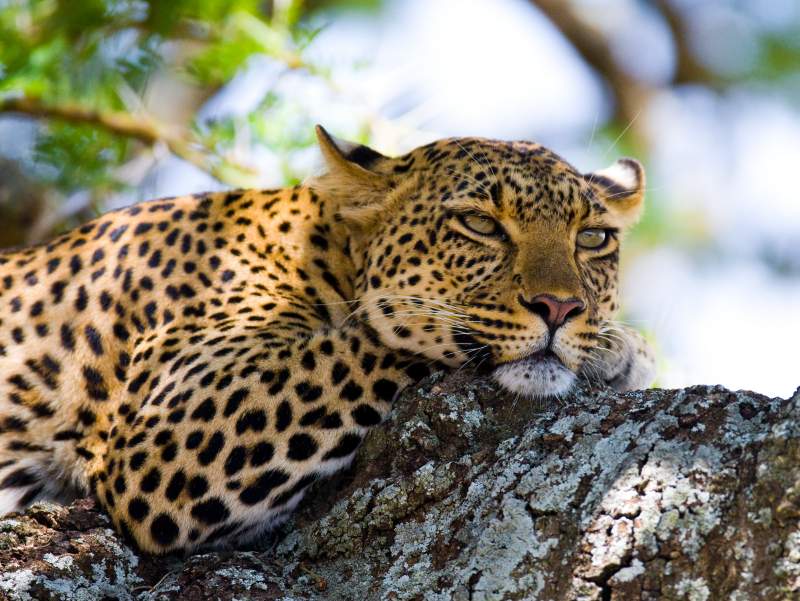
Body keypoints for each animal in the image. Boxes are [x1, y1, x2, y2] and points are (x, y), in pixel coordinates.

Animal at [0, 126, 656, 552]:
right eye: (480, 224)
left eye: (593, 237)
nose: (561, 307)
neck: (321, 249)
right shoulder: (167, 428)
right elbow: (380, 334)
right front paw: (621, 351)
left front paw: (615, 351)